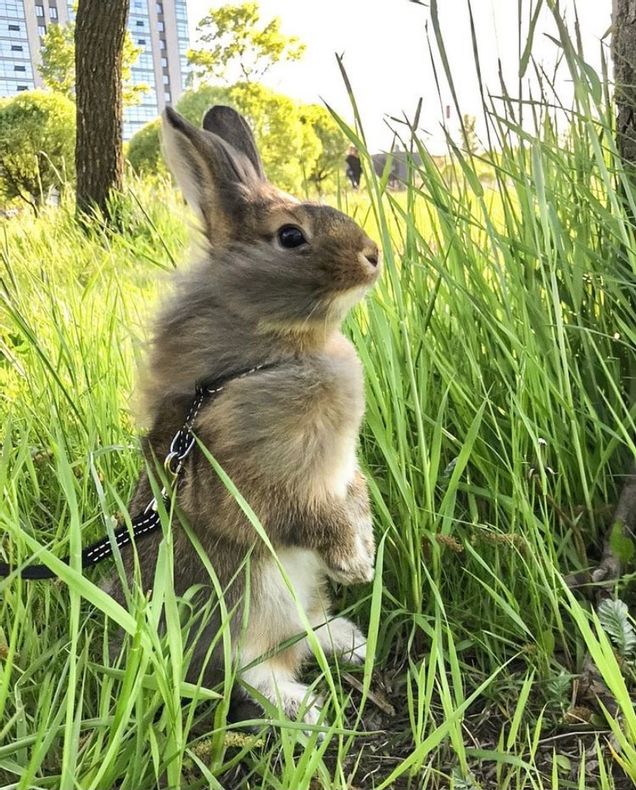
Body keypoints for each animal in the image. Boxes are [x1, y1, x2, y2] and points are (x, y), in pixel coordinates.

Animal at [104, 106, 380, 732]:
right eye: (290, 236)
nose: (374, 254)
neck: (278, 353)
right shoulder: (266, 483)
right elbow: (312, 517)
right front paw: (355, 564)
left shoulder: (340, 472)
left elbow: (355, 492)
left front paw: (365, 556)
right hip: (247, 594)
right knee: (252, 667)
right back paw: (307, 711)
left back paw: (349, 642)